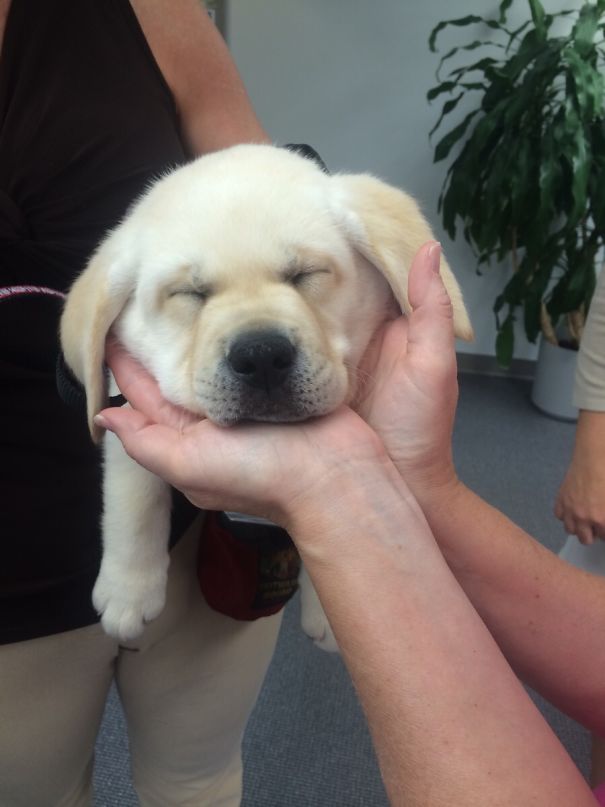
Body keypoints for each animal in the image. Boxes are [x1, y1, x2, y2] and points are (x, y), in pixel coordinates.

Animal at [60, 144, 472, 652]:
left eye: (305, 274)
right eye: (190, 293)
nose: (260, 356)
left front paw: (329, 613)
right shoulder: (124, 407)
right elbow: (134, 497)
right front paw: (128, 589)